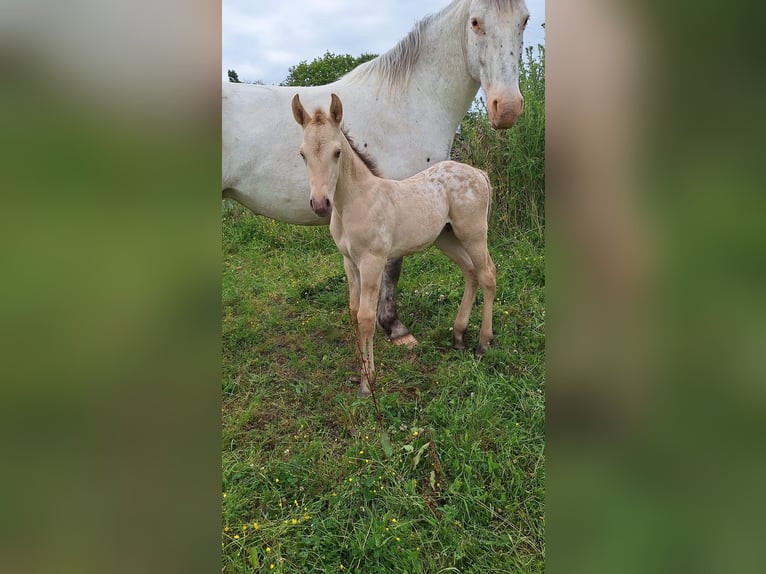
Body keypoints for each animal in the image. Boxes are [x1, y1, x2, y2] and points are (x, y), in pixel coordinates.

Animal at [294, 95, 498, 400]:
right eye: (303, 154)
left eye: (337, 152)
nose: (320, 204)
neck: (356, 201)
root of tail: (479, 173)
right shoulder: (349, 261)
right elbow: (353, 312)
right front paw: (359, 369)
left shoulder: (372, 260)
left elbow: (366, 317)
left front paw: (367, 382)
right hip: (446, 237)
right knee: (470, 272)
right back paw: (459, 336)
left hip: (473, 233)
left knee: (487, 274)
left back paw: (483, 345)